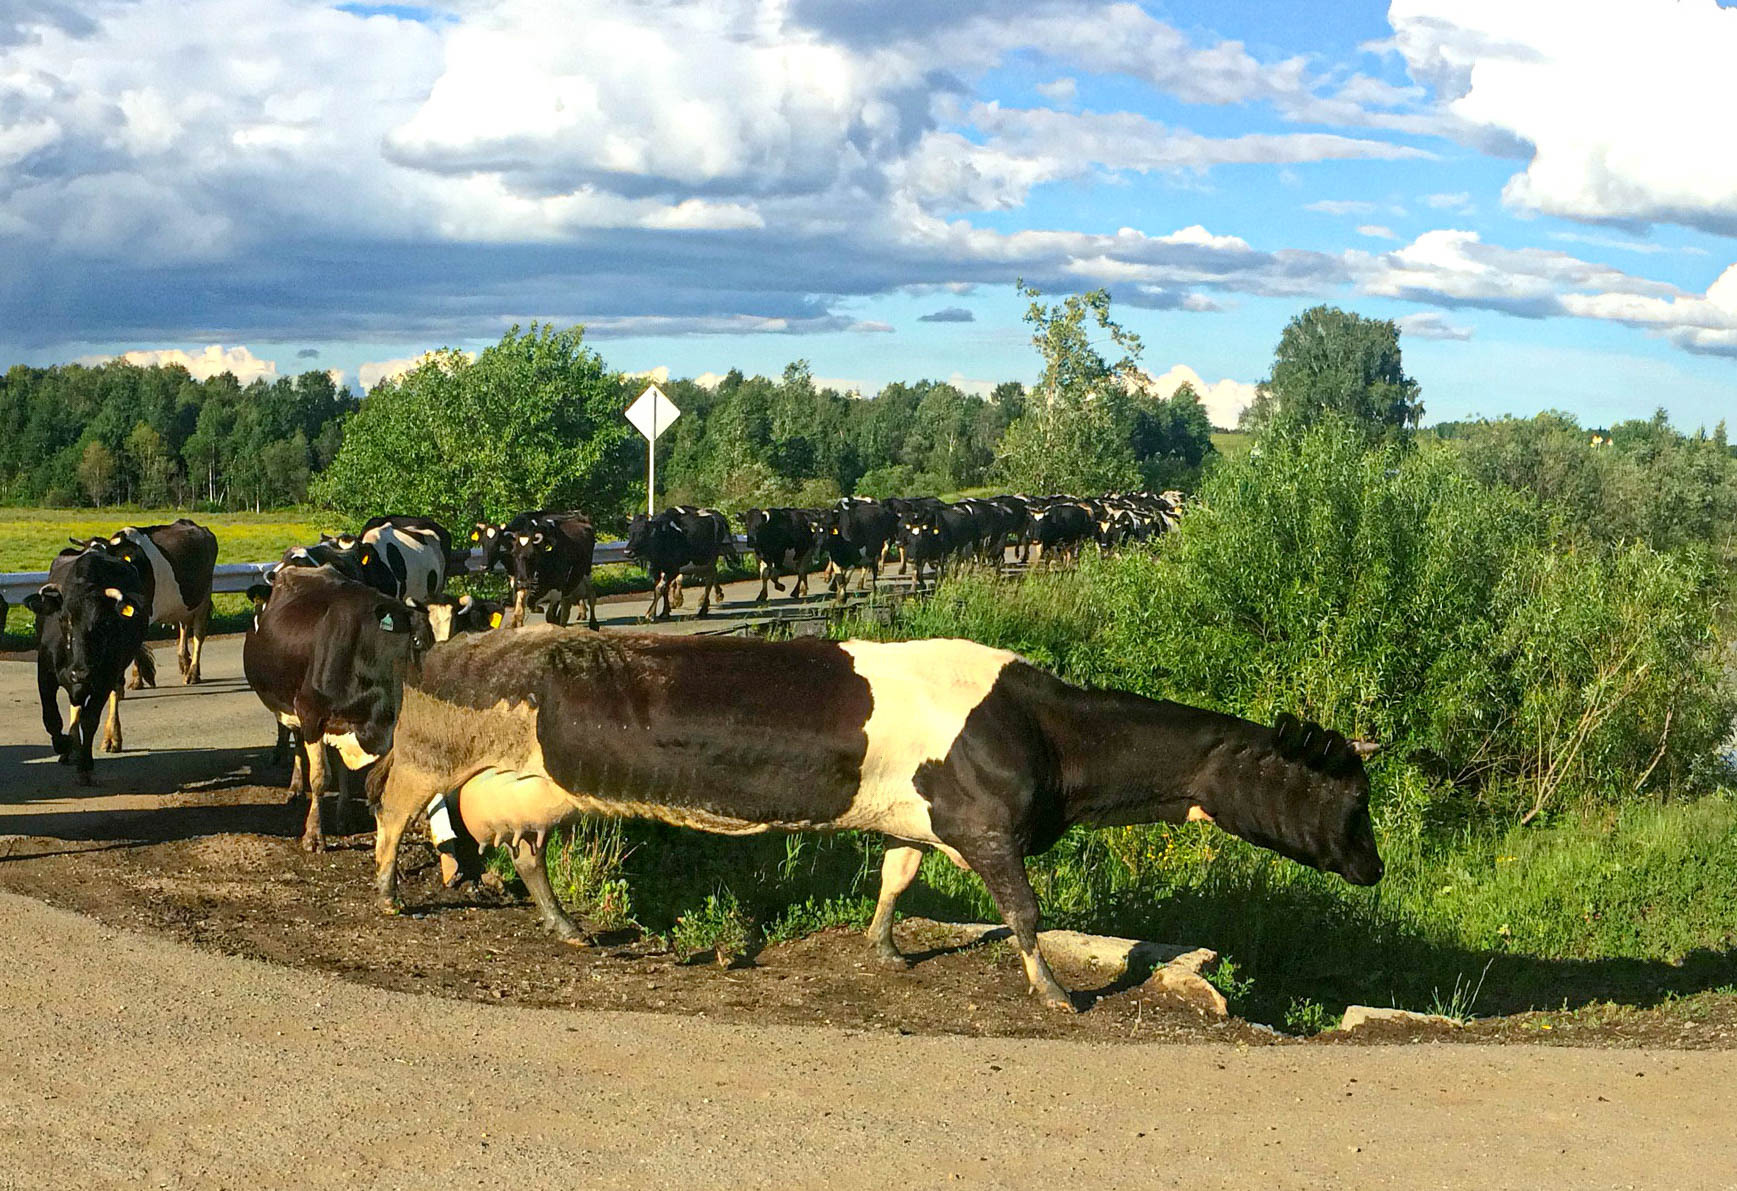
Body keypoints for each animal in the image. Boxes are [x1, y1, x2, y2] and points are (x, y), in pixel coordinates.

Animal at [24, 552, 151, 791]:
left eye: (103, 622)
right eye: (63, 619)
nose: (80, 674)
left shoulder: (103, 679)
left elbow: (90, 719)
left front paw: (85, 766)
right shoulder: (45, 673)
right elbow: (51, 718)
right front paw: (65, 745)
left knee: (112, 695)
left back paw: (111, 739)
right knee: (74, 706)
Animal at [376, 628, 1382, 1013]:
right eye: (1350, 796)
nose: (1375, 869)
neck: (1048, 730)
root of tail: (447, 643)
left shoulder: (918, 823)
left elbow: (896, 878)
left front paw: (886, 948)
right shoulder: (986, 824)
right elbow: (1025, 912)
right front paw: (1056, 992)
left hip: (534, 786)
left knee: (526, 848)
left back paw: (568, 927)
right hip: (428, 753)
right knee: (391, 810)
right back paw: (388, 895)